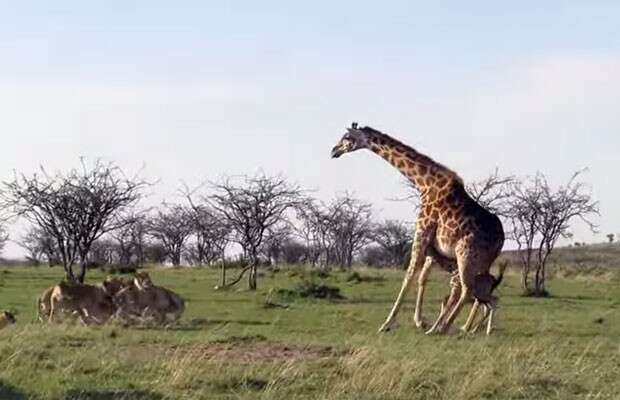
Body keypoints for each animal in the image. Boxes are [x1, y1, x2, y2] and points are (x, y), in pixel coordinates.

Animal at [330, 122, 504, 334]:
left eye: (347, 137)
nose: (334, 151)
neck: (424, 184)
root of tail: (501, 239)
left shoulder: (421, 232)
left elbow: (409, 277)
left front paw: (387, 324)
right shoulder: (431, 245)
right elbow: (421, 278)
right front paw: (419, 321)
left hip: (465, 254)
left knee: (466, 289)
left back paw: (445, 328)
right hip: (481, 262)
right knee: (476, 290)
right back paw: (461, 327)